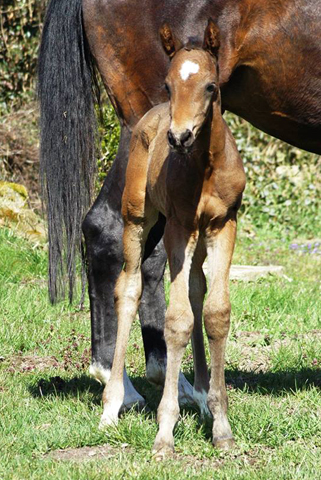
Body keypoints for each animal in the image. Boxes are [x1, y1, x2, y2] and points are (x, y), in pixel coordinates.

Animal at [100, 20, 245, 458]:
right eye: (168, 84)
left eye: (211, 85)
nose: (178, 137)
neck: (206, 166)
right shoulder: (179, 227)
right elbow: (177, 321)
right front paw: (165, 431)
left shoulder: (223, 224)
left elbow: (215, 313)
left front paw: (221, 425)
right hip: (139, 218)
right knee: (128, 287)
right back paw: (112, 405)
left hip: (197, 236)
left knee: (196, 288)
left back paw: (199, 396)